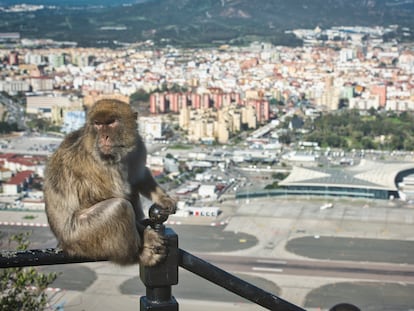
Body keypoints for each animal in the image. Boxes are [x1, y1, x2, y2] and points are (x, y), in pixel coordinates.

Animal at [43, 99, 176, 266]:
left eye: (111, 122)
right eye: (98, 124)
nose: (104, 137)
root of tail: (63, 244)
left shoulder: (138, 147)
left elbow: (139, 176)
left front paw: (164, 199)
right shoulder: (97, 165)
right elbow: (108, 198)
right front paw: (149, 236)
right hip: (81, 236)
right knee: (119, 208)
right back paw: (140, 255)